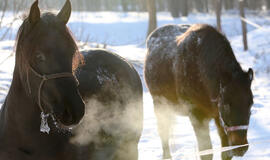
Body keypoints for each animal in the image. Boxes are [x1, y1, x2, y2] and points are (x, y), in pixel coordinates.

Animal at [144, 23, 254, 160]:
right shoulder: (197, 115)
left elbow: (225, 152)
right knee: (163, 132)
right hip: (160, 105)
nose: (240, 147)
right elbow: (206, 151)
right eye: (226, 104)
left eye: (251, 104)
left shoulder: (218, 117)